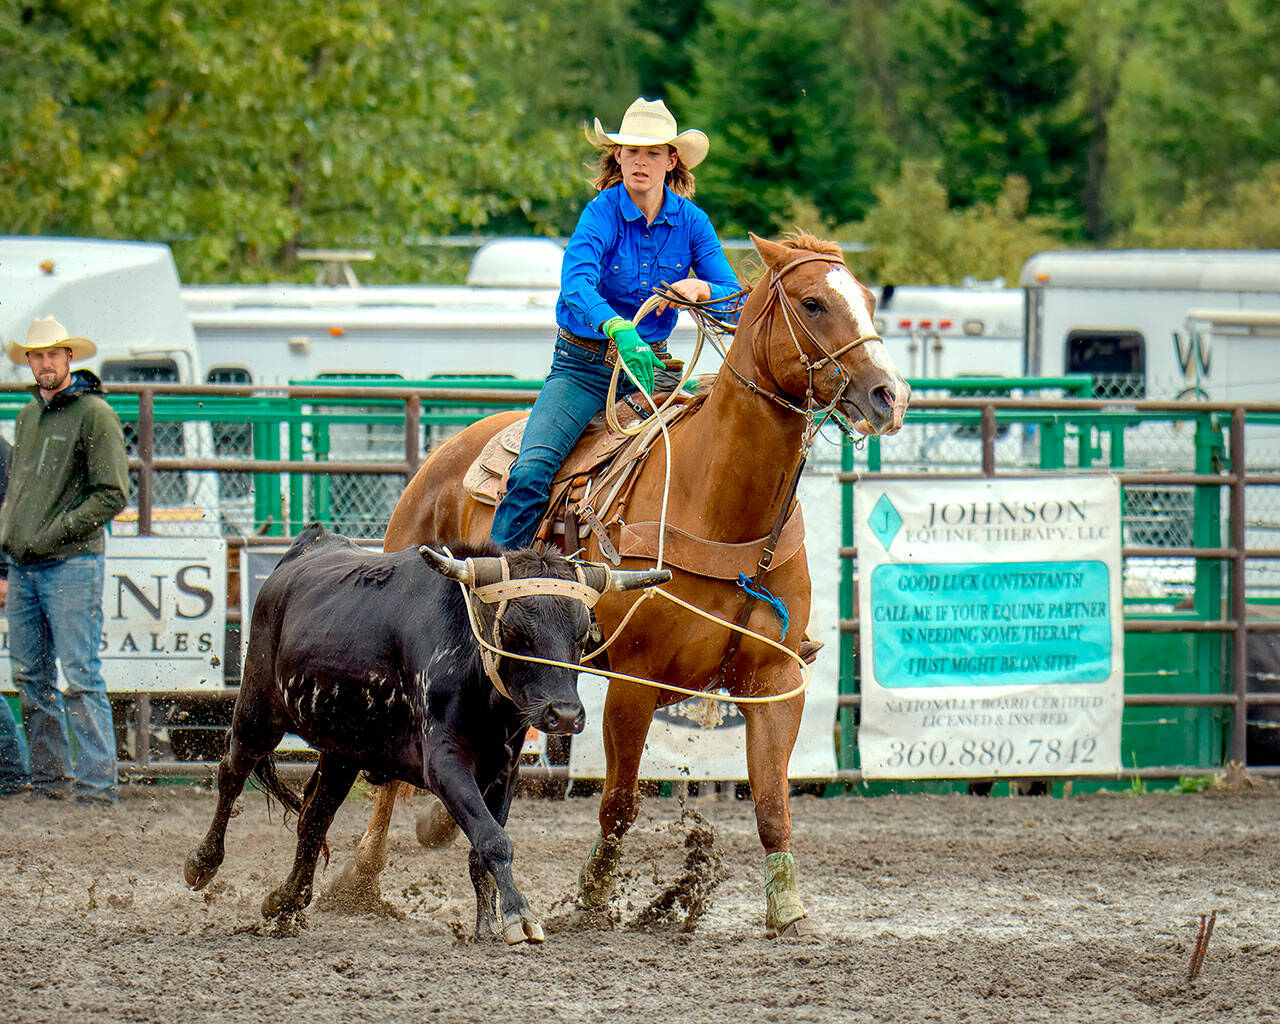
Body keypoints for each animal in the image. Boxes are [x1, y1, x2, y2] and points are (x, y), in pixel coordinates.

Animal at [327, 231, 911, 936]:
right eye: (813, 302)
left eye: (865, 298)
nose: (889, 395)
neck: (720, 504)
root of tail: (444, 451)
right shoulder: (635, 680)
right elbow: (620, 802)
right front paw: (592, 896)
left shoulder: (775, 680)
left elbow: (773, 803)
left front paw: (788, 910)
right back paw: (359, 878)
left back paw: (434, 826)